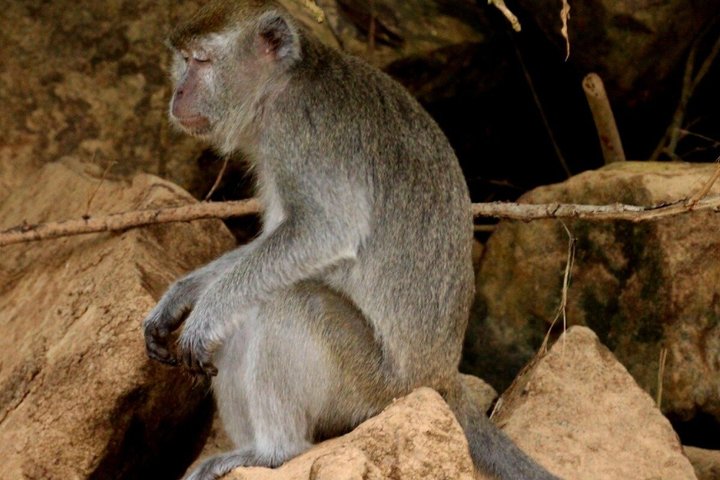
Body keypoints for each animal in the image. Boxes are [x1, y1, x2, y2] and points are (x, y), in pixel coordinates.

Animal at [142, 1, 559, 479]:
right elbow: (276, 241)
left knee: (288, 300)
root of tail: (440, 377)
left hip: (374, 388)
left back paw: (272, 451)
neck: (285, 80)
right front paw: (183, 295)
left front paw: (206, 312)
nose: (178, 95)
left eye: (201, 61)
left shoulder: (299, 131)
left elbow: (324, 231)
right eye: (182, 60)